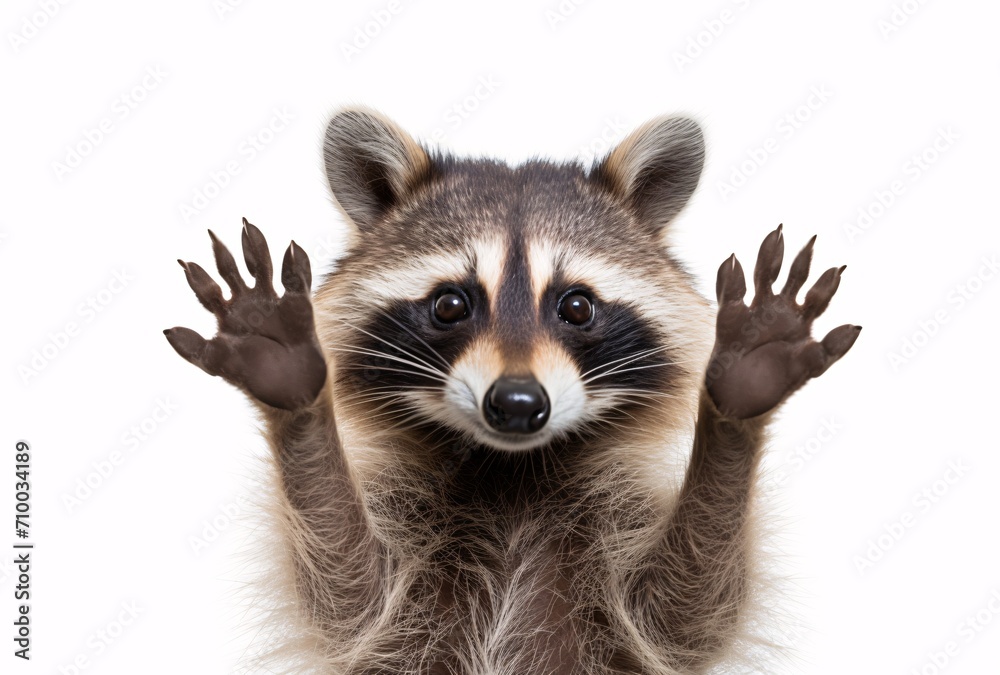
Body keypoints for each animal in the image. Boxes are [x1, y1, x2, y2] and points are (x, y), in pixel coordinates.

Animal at [165, 108, 860, 674]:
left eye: (577, 306)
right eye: (450, 304)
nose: (518, 404)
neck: (511, 474)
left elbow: (686, 613)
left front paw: (737, 401)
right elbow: (348, 591)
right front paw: (297, 393)